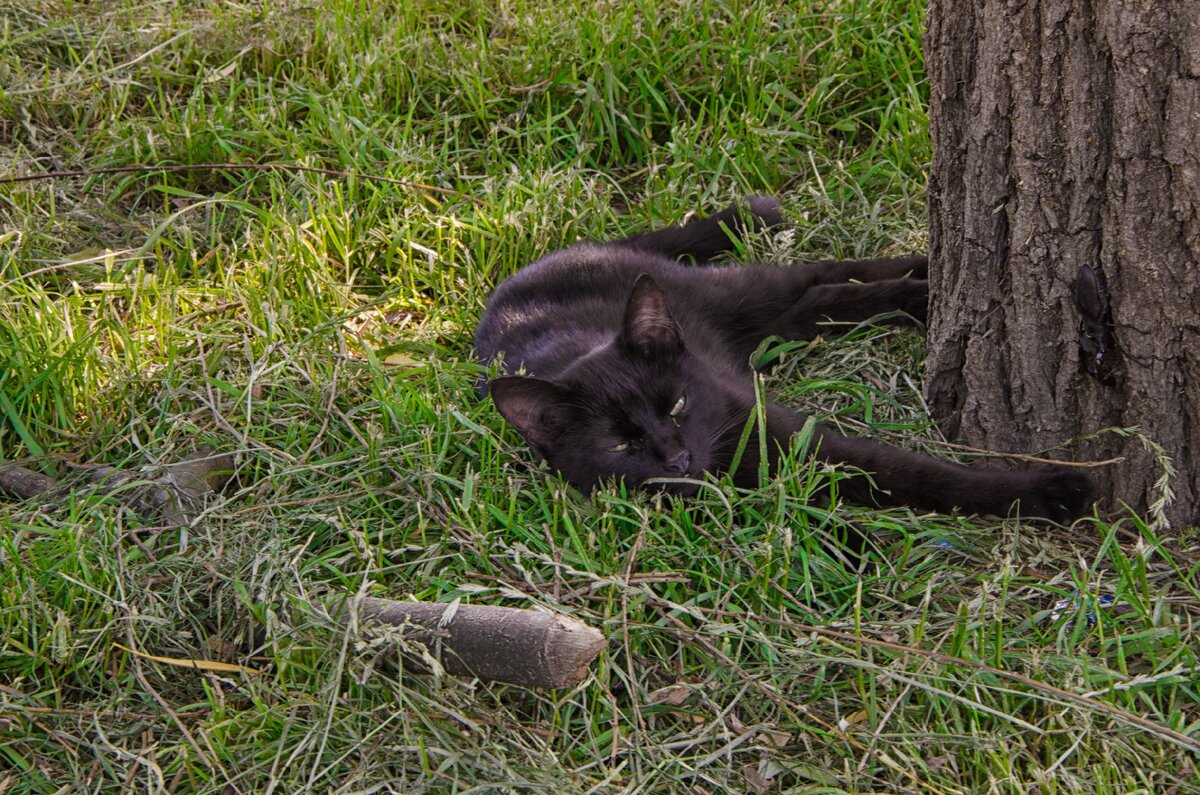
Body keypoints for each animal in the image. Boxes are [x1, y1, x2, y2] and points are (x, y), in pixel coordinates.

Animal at [472, 199, 1094, 523]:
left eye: (676, 404)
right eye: (619, 446)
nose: (677, 459)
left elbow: (914, 471)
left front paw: (1052, 490)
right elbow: (898, 475)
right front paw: (1045, 492)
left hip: (739, 295)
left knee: (820, 276)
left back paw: (927, 277)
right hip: (769, 320)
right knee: (820, 300)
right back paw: (922, 290)